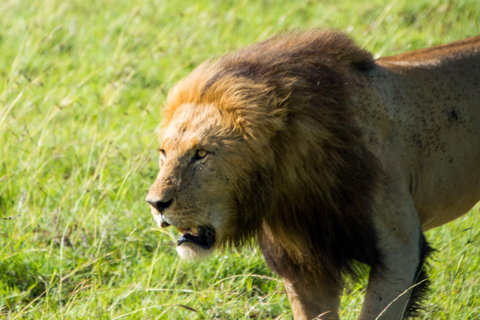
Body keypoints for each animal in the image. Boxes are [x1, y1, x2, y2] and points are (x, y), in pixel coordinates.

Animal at [145, 30, 480, 320]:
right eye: (163, 153)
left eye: (201, 154)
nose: (155, 204)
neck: (288, 189)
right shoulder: (306, 267)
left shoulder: (400, 250)